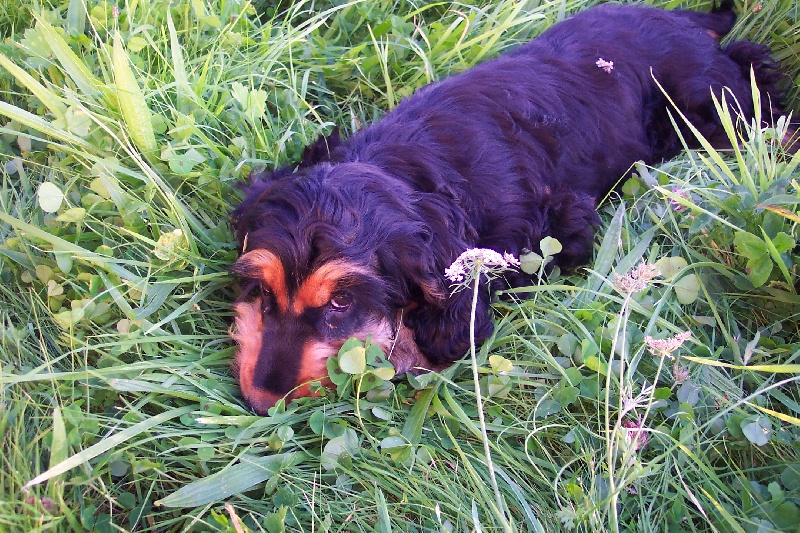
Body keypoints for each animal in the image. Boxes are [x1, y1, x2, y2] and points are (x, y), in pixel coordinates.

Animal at [228, 3, 792, 412]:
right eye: (261, 290)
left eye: (342, 303)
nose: (259, 402)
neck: (410, 171)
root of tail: (684, 19)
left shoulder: (556, 229)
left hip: (712, 104)